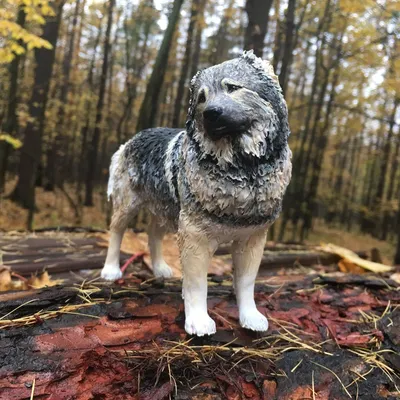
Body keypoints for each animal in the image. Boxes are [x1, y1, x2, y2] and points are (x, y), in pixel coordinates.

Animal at [101, 50, 292, 338]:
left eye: (232, 87)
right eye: (202, 98)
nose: (210, 113)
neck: (242, 171)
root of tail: (129, 141)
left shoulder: (252, 239)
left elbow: (246, 283)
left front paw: (250, 316)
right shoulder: (194, 236)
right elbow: (196, 284)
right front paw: (198, 321)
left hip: (167, 210)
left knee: (153, 234)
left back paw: (159, 268)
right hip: (128, 205)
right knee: (116, 232)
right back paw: (110, 269)